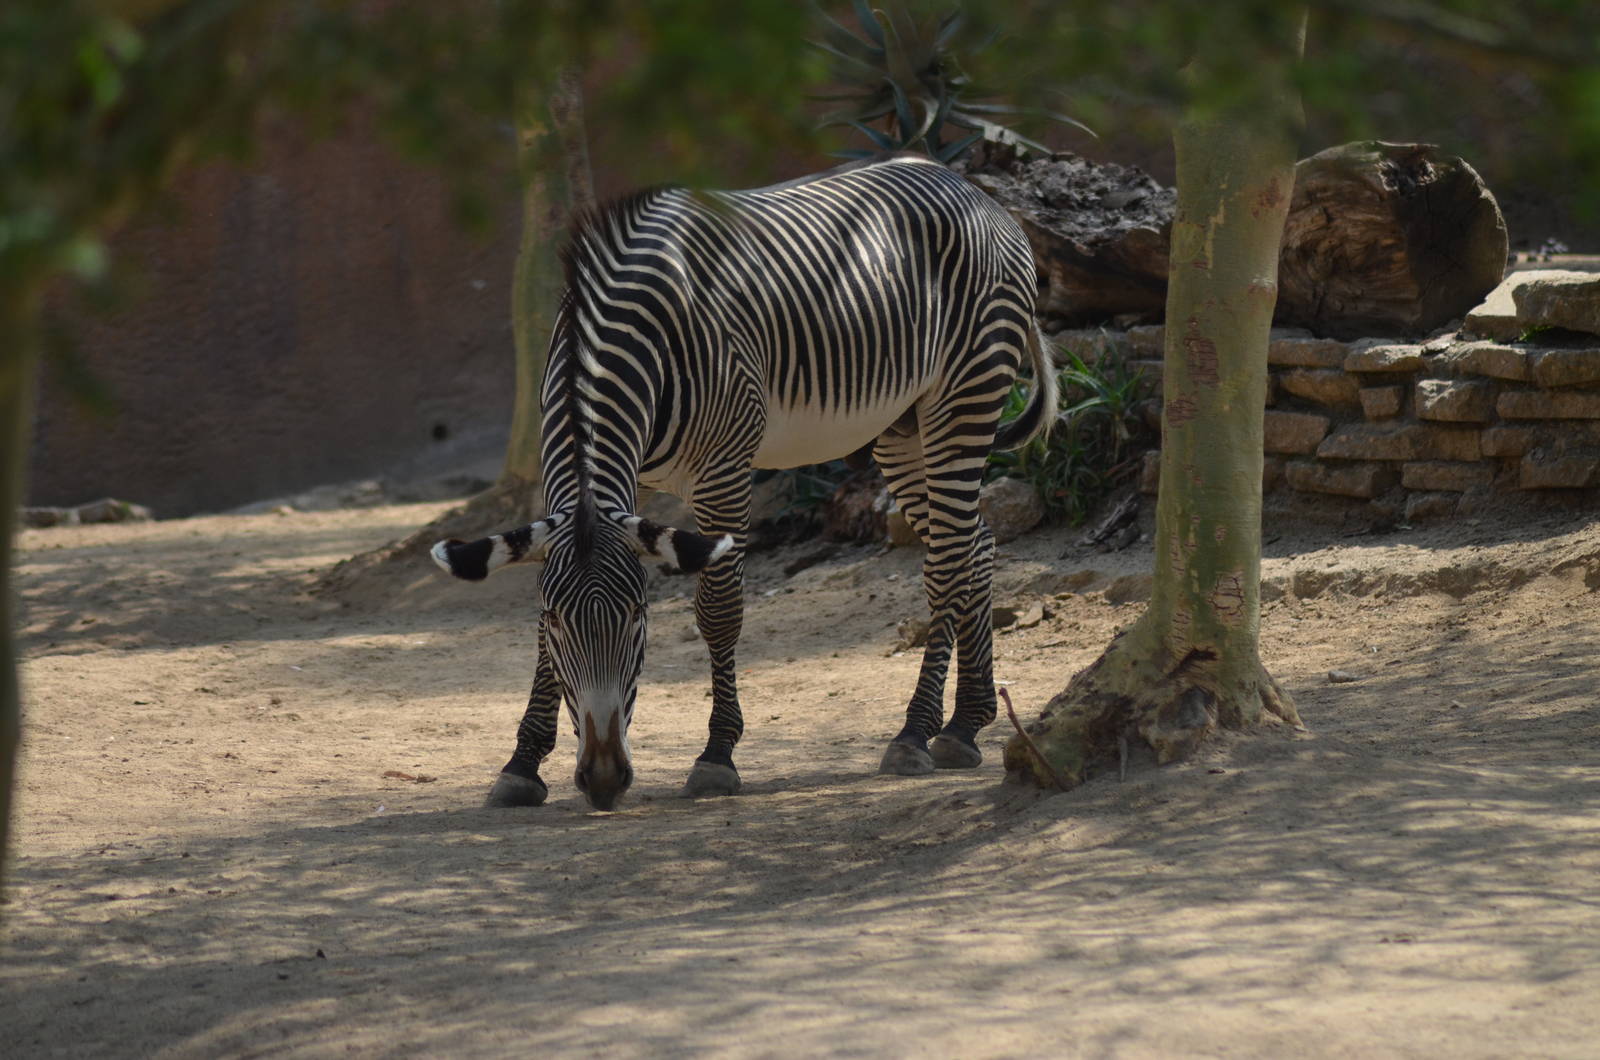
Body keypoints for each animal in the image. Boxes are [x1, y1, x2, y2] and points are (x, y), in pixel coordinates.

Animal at [432, 154, 1056, 811]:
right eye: (555, 622)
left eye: (638, 616)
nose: (603, 781)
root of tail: (968, 187)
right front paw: (522, 765)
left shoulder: (724, 473)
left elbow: (719, 611)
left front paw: (716, 755)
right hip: (901, 426)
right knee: (976, 544)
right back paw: (966, 724)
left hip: (964, 396)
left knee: (948, 562)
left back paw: (916, 732)